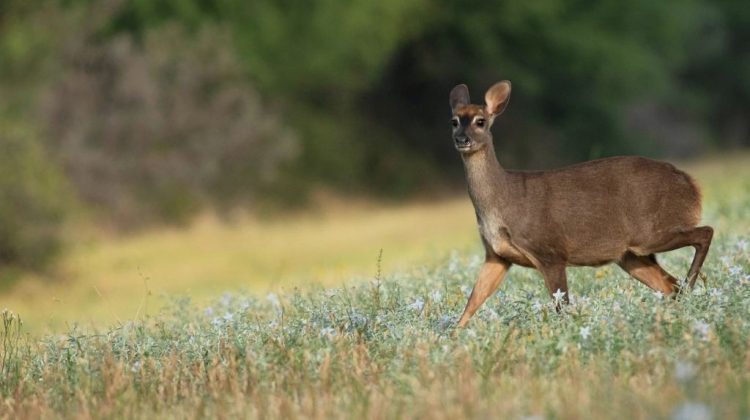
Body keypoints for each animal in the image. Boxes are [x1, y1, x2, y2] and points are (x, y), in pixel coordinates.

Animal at [452, 80, 716, 326]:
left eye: (480, 121)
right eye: (454, 121)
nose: (461, 139)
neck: (501, 201)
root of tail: (692, 185)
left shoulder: (550, 251)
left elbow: (562, 307)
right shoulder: (496, 256)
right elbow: (471, 304)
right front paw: (451, 338)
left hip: (650, 233)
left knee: (705, 232)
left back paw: (691, 285)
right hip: (631, 255)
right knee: (671, 286)